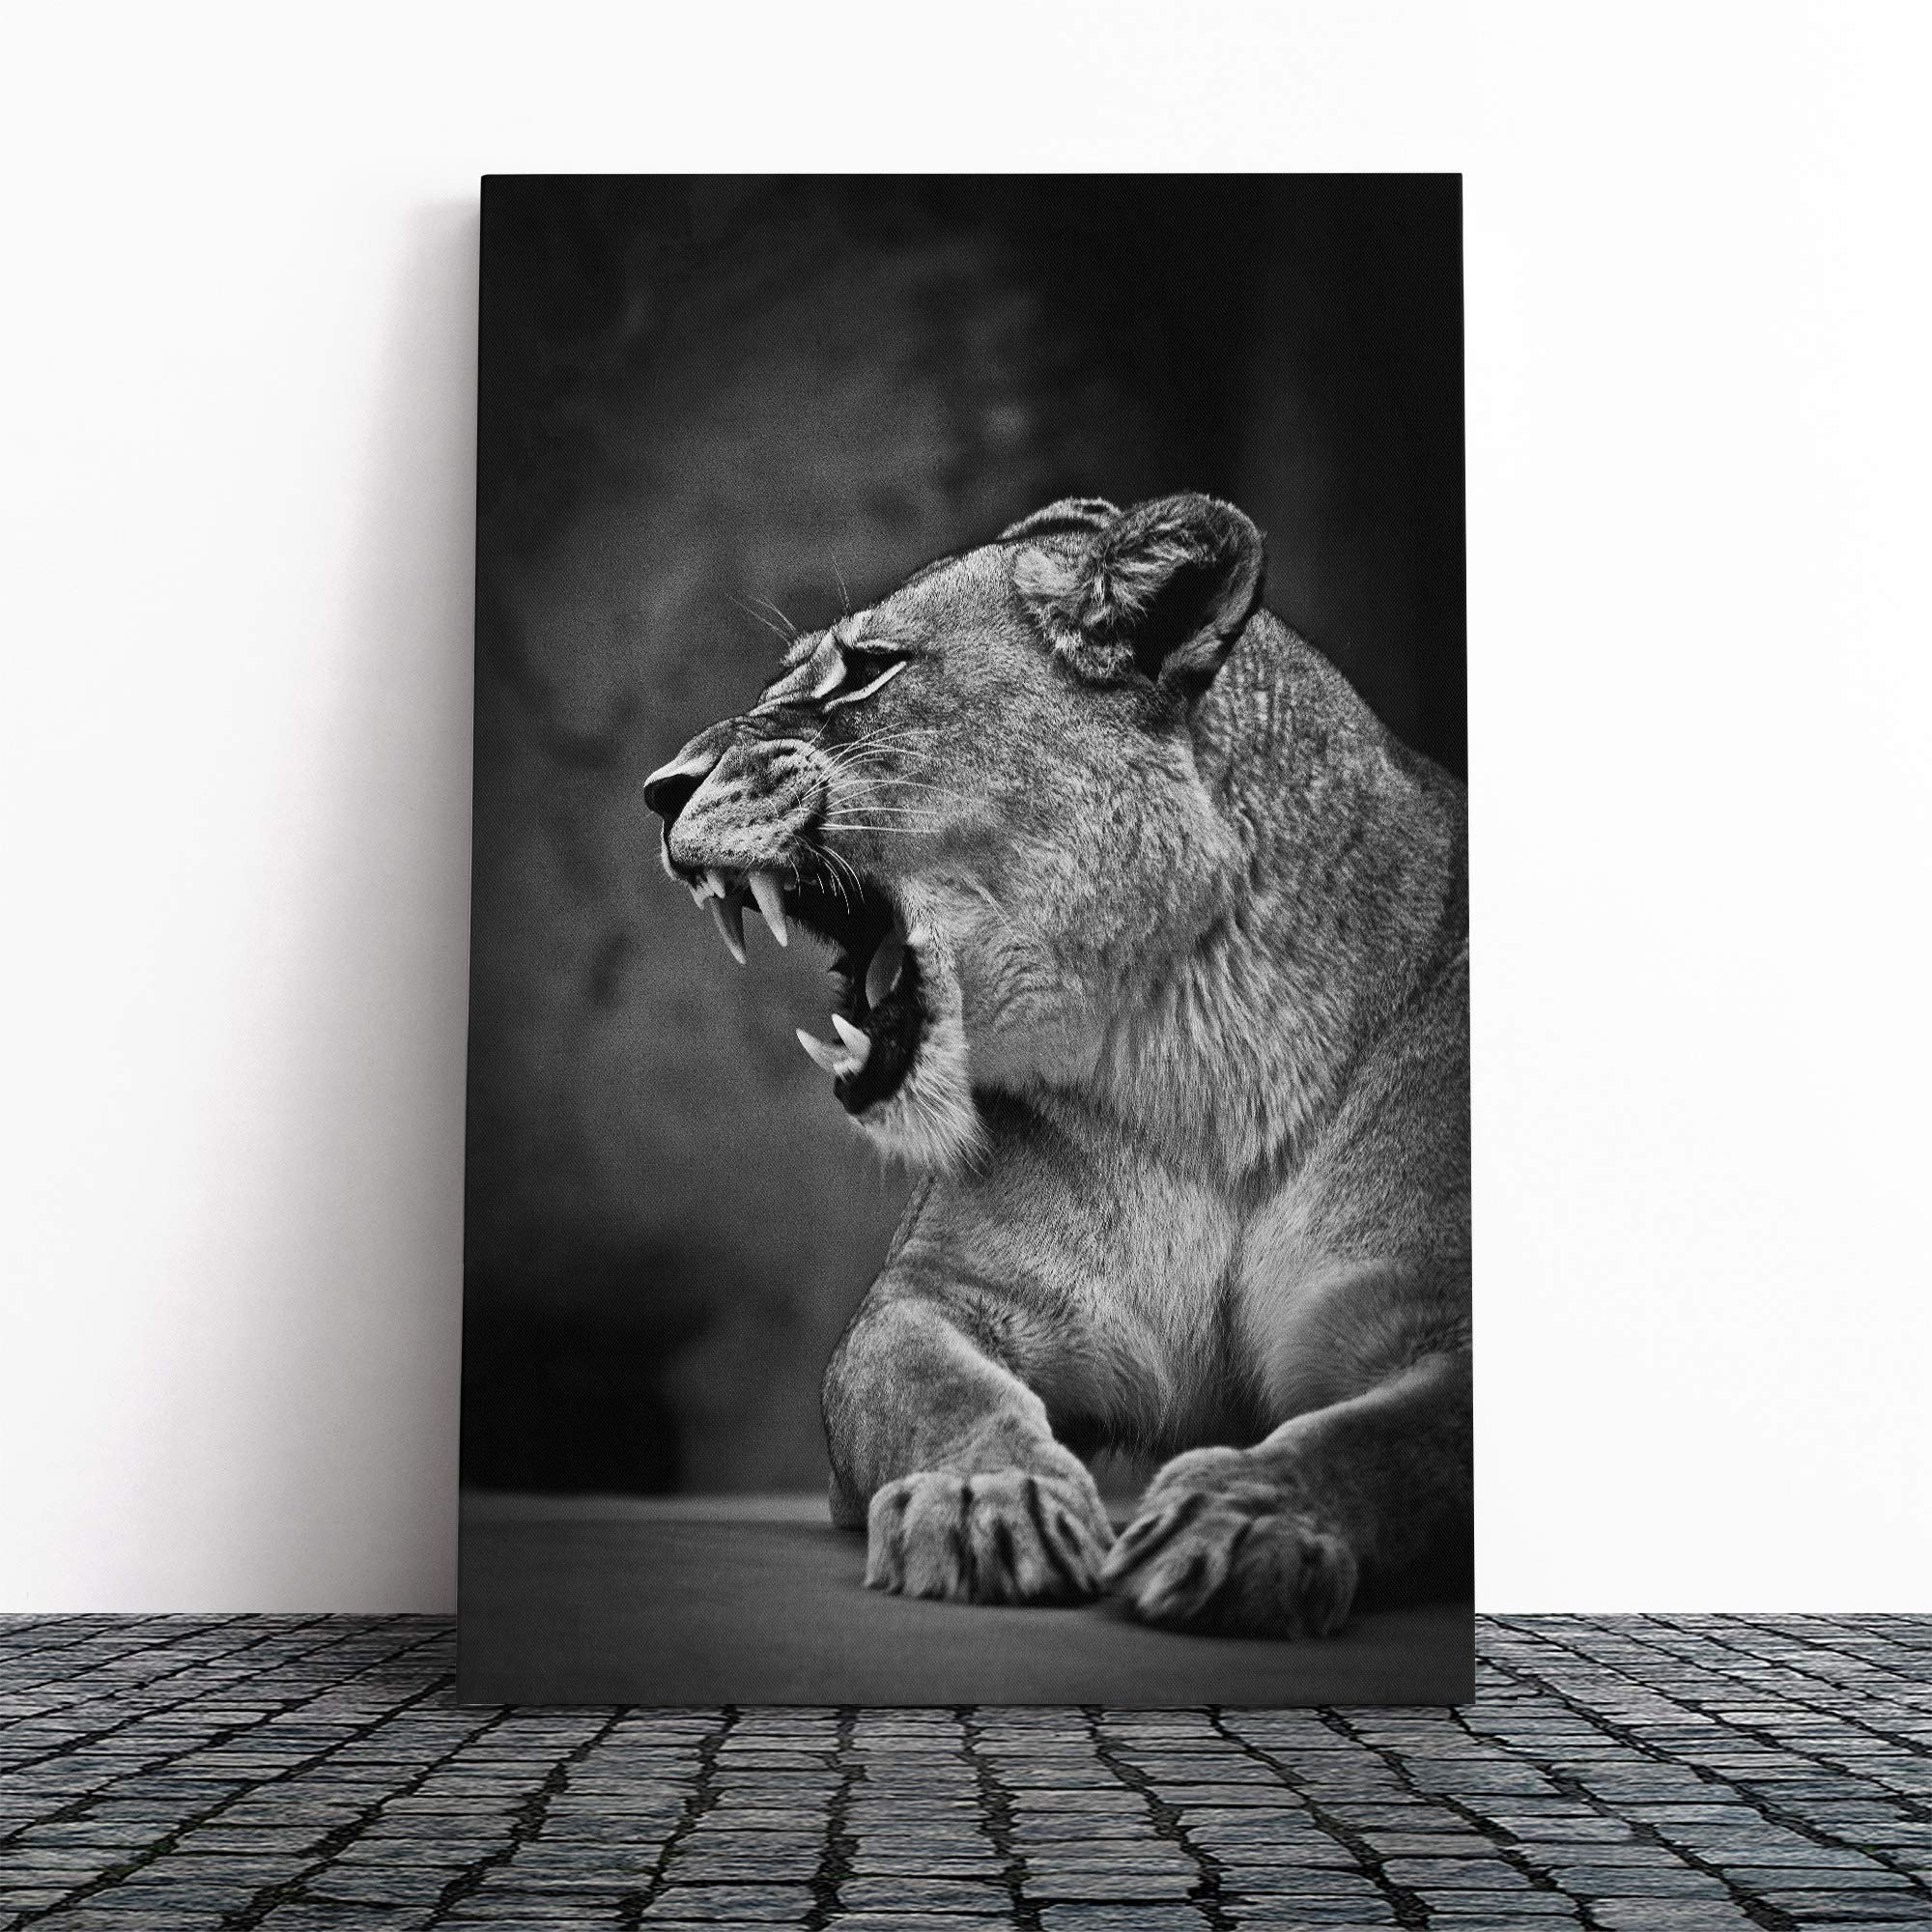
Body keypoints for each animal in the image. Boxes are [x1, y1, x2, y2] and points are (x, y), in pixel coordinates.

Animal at [643, 493, 1470, 1637]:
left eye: (865, 671)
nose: (655, 790)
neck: (1210, 1070)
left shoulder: (1435, 1317)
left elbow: (1383, 1441)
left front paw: (1247, 1518)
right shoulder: (927, 1297)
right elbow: (948, 1395)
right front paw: (987, 1500)